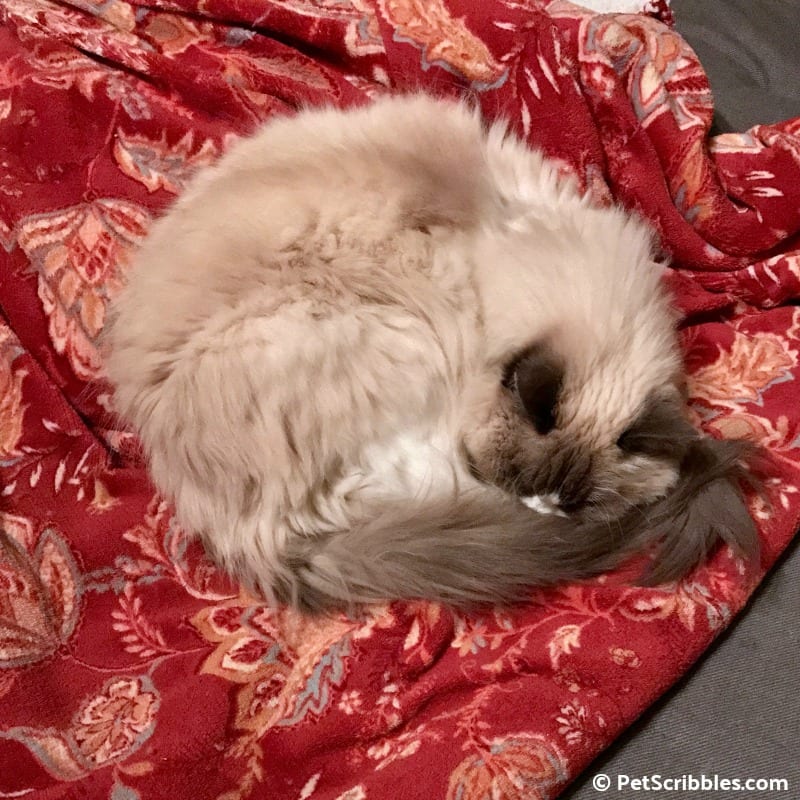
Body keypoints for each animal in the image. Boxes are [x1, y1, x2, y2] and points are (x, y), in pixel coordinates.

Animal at [104, 90, 756, 608]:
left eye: (569, 503)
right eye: (517, 482)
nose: (537, 509)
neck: (509, 228)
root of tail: (252, 539)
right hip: (400, 338)